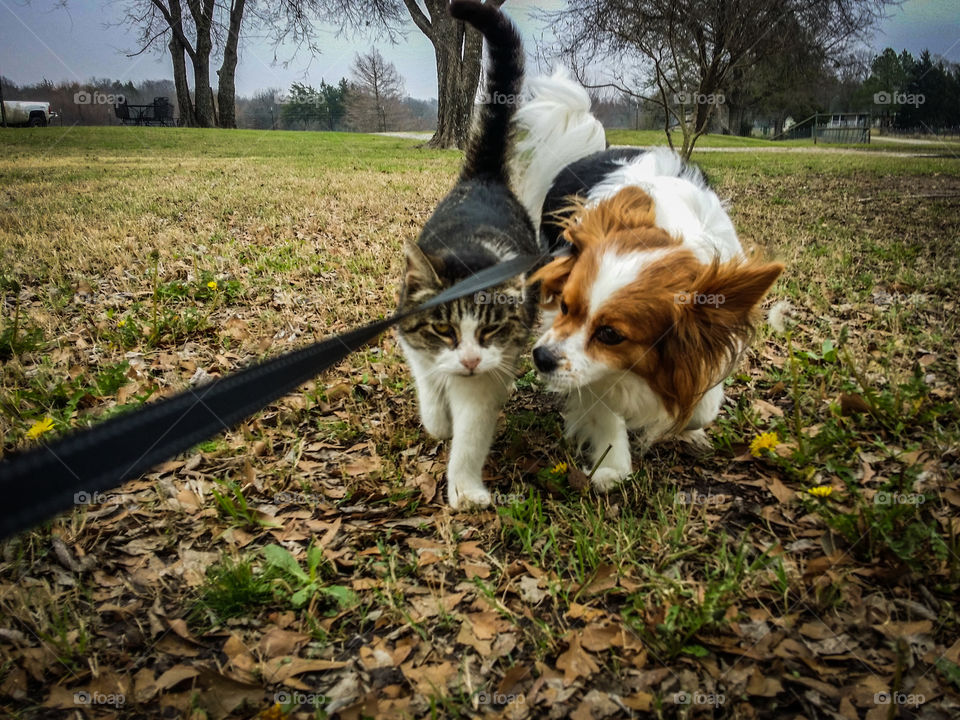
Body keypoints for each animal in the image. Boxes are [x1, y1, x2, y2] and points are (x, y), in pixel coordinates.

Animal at [394, 0, 536, 510]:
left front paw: (466, 488)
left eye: (489, 329)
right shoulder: (413, 339)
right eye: (443, 330)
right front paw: (438, 418)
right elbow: (429, 385)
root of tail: (485, 177)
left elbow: (473, 431)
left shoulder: (488, 370)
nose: (471, 361)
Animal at [512, 74, 784, 490]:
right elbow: (602, 405)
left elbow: (702, 400)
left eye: (611, 334)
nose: (540, 357)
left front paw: (690, 422)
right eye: (566, 306)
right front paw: (612, 463)